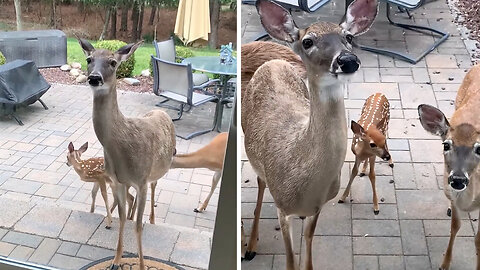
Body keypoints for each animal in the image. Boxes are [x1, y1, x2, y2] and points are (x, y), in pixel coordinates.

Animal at [79, 38, 176, 270]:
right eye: (89, 59)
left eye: (113, 62)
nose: (94, 78)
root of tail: (162, 112)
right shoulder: (118, 181)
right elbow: (121, 218)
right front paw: (115, 260)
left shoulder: (141, 180)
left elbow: (139, 226)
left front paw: (141, 264)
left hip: (155, 172)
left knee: (154, 189)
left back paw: (152, 218)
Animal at [242, 0, 370, 268]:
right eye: (308, 41)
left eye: (348, 37)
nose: (348, 60)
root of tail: (273, 63)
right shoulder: (282, 207)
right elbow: (291, 261)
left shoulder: (318, 207)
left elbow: (308, 250)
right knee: (260, 182)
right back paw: (250, 246)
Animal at [416, 63, 480, 270]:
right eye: (446, 144)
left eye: (479, 148)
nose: (458, 179)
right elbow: (455, 227)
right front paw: (444, 264)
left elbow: (478, 239)